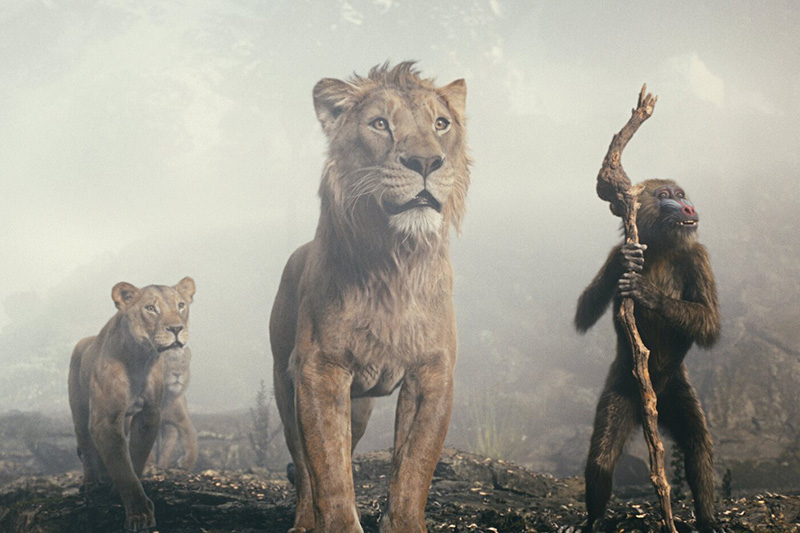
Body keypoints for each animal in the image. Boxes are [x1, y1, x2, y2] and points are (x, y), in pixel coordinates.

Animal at [68, 277, 195, 532]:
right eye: (151, 308)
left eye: (181, 305)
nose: (176, 329)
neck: (140, 359)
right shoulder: (104, 420)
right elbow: (122, 467)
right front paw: (139, 515)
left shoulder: (149, 415)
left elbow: (135, 457)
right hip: (79, 411)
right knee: (86, 446)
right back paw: (91, 483)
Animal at [270, 62, 470, 533]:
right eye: (380, 124)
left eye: (441, 124)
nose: (426, 162)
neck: (396, 261)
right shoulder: (320, 370)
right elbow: (329, 471)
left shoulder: (432, 373)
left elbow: (414, 467)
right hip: (286, 385)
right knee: (303, 467)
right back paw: (303, 521)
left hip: (359, 406)